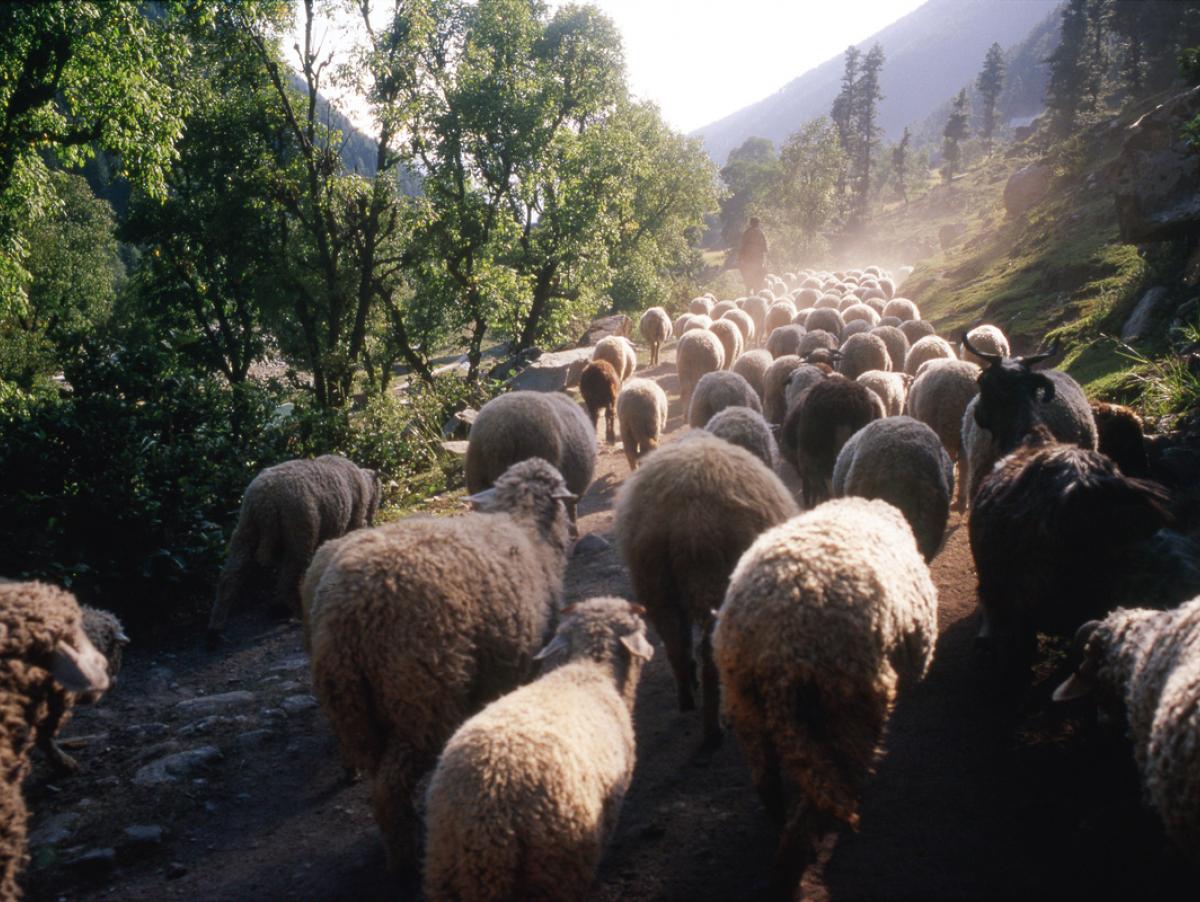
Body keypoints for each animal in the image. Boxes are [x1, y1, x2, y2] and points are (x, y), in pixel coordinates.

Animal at [207, 454, 381, 645]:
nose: (372, 521)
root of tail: (266, 501)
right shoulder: (351, 519)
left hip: (247, 526)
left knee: (231, 574)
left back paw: (216, 630)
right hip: (299, 526)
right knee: (288, 577)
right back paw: (296, 613)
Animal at [310, 458, 576, 871]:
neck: (526, 530)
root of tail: (349, 615)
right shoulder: (519, 665)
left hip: (356, 709)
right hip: (420, 699)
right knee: (389, 788)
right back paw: (407, 855)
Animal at [615, 435, 798, 745]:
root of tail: (692, 520)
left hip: (658, 586)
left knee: (675, 645)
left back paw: (687, 698)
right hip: (714, 586)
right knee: (709, 653)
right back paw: (714, 728)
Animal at [713, 497, 937, 897]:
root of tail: (776, 645)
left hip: (745, 703)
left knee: (767, 782)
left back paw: (779, 831)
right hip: (847, 711)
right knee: (825, 796)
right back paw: (794, 869)